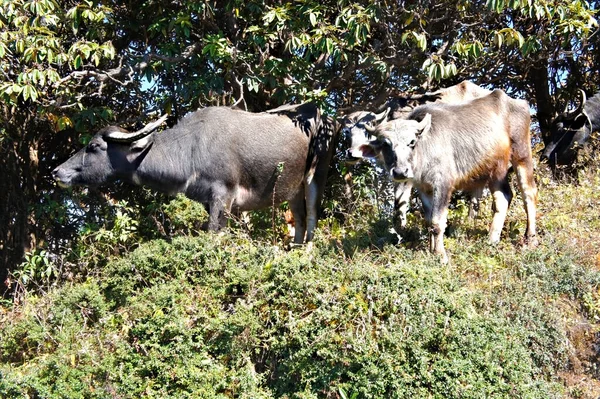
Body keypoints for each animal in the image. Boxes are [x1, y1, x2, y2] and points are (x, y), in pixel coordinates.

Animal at [52, 103, 338, 244]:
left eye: (94, 146)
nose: (57, 171)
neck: (190, 148)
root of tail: (327, 119)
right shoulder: (209, 201)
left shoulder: (224, 195)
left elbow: (213, 235)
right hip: (293, 190)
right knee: (299, 219)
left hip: (316, 175)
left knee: (312, 215)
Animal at [356, 91, 540, 266]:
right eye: (385, 144)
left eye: (412, 142)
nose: (400, 171)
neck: (424, 154)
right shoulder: (424, 189)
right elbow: (429, 221)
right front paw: (432, 251)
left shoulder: (443, 184)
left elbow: (437, 222)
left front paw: (441, 256)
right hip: (495, 170)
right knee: (504, 197)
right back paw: (492, 239)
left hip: (521, 154)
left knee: (528, 193)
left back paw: (530, 239)